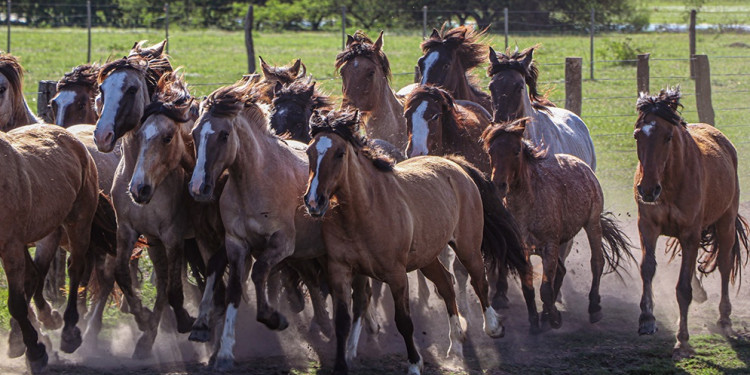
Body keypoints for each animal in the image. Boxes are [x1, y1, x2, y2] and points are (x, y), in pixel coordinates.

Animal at [0, 124, 100, 374]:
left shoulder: (10, 246)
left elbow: (16, 303)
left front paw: (36, 353)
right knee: (33, 276)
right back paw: (23, 335)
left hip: (78, 222)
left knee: (75, 269)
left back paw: (69, 332)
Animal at [306, 108, 528, 375]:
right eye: (309, 152)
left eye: (340, 153)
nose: (313, 201)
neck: (364, 210)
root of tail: (453, 163)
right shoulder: (340, 270)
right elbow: (342, 321)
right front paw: (341, 365)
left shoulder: (396, 275)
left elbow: (404, 322)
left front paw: (414, 364)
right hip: (427, 257)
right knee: (446, 283)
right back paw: (456, 344)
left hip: (468, 246)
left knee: (479, 280)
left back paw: (493, 328)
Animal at [482, 117, 636, 332]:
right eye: (490, 151)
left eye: (516, 151)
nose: (499, 185)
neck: (528, 202)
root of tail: (582, 164)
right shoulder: (523, 248)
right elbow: (529, 287)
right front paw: (535, 321)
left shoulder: (550, 245)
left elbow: (545, 289)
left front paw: (554, 318)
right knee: (561, 271)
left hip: (592, 225)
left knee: (596, 262)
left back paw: (594, 308)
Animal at [632, 88, 748, 362]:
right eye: (637, 134)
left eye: (668, 136)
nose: (648, 190)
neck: (670, 179)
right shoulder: (647, 227)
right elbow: (647, 269)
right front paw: (647, 319)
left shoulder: (689, 233)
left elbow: (683, 289)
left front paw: (682, 341)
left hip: (726, 223)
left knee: (724, 266)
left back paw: (725, 319)